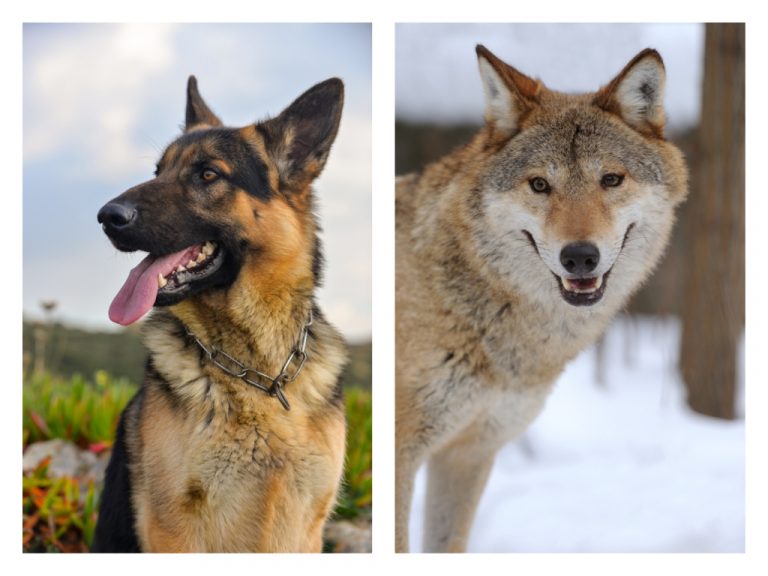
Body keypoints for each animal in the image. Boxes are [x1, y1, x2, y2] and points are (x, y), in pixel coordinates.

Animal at [92, 76, 348, 552]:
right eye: (158, 172)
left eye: (207, 174)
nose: (105, 216)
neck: (259, 375)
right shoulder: (174, 529)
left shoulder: (308, 528)